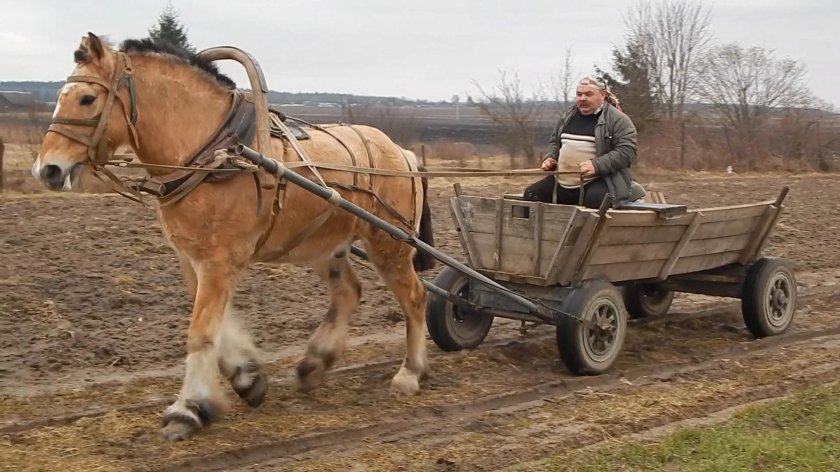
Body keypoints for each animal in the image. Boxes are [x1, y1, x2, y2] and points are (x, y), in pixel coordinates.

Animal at [32, 33, 436, 441]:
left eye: (87, 98)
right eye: (61, 96)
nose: (47, 170)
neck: (215, 152)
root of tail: (400, 152)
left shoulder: (218, 260)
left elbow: (200, 331)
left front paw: (186, 409)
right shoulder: (193, 259)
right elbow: (216, 326)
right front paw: (246, 379)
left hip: (389, 243)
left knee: (415, 298)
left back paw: (409, 372)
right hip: (325, 244)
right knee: (348, 292)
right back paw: (314, 364)